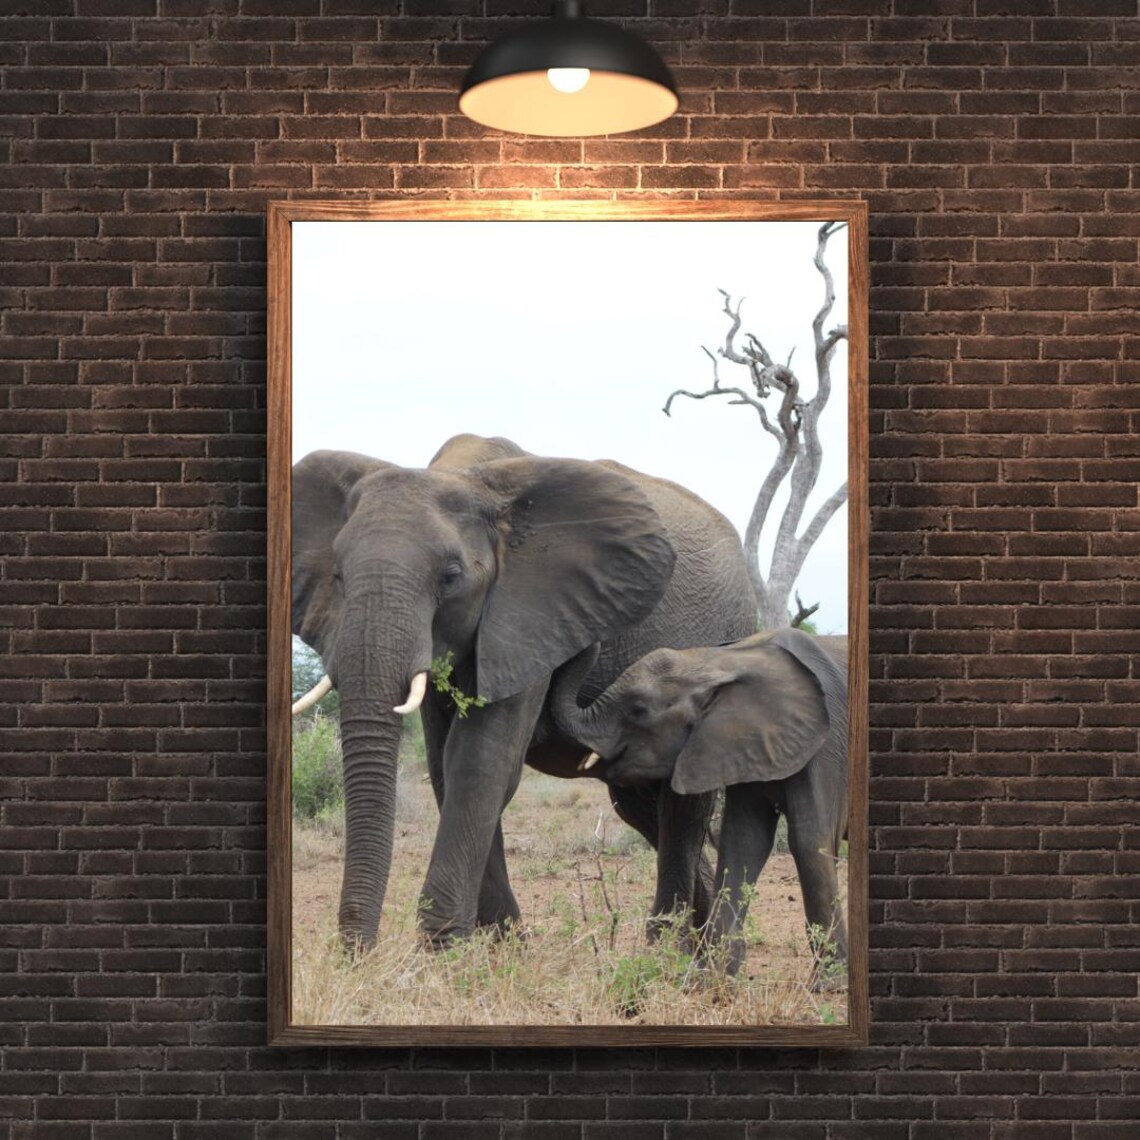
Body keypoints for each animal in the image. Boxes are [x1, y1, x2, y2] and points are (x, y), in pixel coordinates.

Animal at [291, 433, 757, 950]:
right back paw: (704, 945)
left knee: (682, 810)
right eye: (337, 576)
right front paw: (498, 943)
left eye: (450, 575)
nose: (358, 954)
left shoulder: (532, 613)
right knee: (639, 807)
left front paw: (446, 946)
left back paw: (673, 949)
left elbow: (480, 759)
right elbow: (443, 763)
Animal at [550, 627, 849, 984]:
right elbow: (743, 843)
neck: (718, 661)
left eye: (637, 710)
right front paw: (713, 978)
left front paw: (829, 985)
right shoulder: (738, 745)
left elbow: (808, 841)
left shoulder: (825, 747)